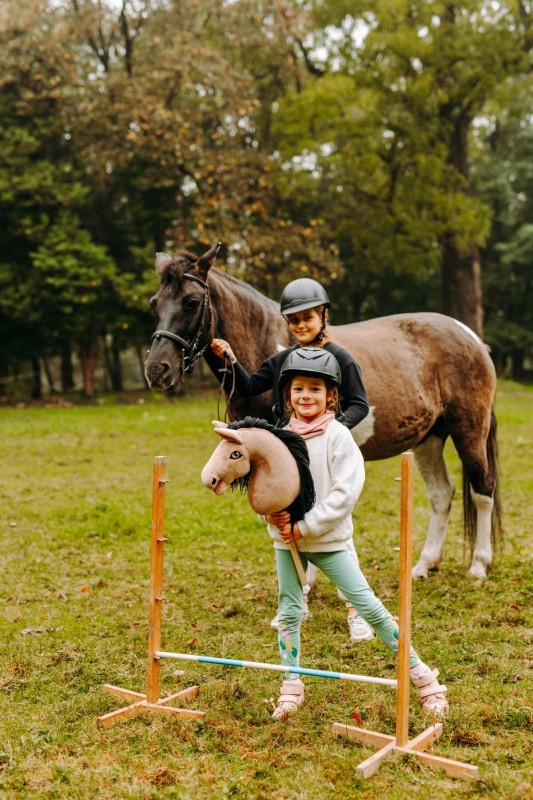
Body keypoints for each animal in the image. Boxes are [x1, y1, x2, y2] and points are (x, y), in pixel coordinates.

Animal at [145, 244, 502, 580]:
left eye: (192, 302)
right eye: (154, 304)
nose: (156, 370)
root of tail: (471, 338)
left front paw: (308, 578)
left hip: (469, 430)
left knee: (483, 490)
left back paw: (479, 565)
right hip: (429, 438)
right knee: (442, 495)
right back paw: (424, 566)